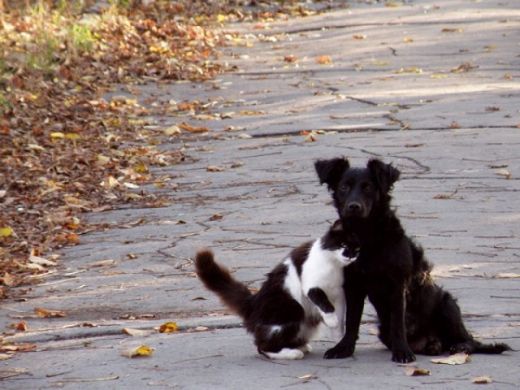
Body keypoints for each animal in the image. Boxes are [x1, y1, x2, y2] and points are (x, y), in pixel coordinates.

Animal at [193, 221, 360, 362]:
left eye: (357, 249)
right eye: (343, 244)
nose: (350, 255)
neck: (334, 265)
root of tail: (253, 303)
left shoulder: (339, 295)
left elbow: (339, 320)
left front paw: (339, 342)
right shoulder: (311, 285)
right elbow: (324, 302)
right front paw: (332, 321)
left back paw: (298, 347)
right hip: (292, 309)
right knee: (262, 347)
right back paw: (292, 353)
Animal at [314, 156, 510, 362]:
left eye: (368, 188)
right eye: (344, 187)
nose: (353, 206)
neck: (367, 236)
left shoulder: (397, 285)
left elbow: (398, 322)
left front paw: (402, 351)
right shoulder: (354, 285)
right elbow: (352, 321)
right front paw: (344, 348)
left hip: (447, 305)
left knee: (469, 340)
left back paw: (460, 346)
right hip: (384, 330)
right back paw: (433, 346)